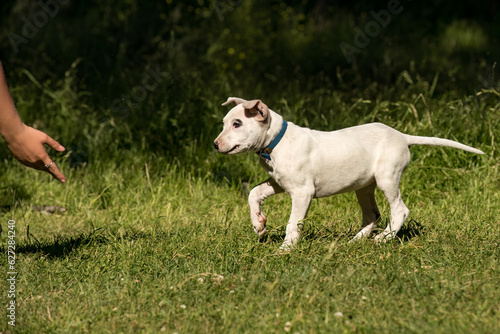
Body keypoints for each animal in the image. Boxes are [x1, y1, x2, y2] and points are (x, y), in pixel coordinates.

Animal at [214, 96, 484, 248]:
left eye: (237, 124)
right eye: (225, 123)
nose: (215, 145)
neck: (277, 141)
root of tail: (402, 136)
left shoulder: (302, 193)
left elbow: (293, 223)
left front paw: (286, 249)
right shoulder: (278, 183)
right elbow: (254, 193)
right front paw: (259, 224)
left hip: (387, 178)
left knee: (399, 210)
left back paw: (385, 238)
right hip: (364, 187)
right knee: (372, 215)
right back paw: (355, 241)